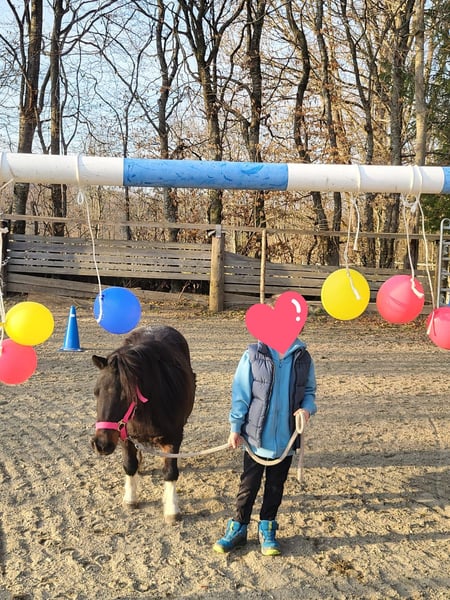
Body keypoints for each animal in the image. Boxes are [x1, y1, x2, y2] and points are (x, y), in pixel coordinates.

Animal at [91, 325, 196, 524]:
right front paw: (130, 498)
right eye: (96, 392)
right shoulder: (124, 436)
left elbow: (170, 471)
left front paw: (172, 509)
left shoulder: (174, 437)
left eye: (126, 395)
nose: (101, 444)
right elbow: (129, 465)